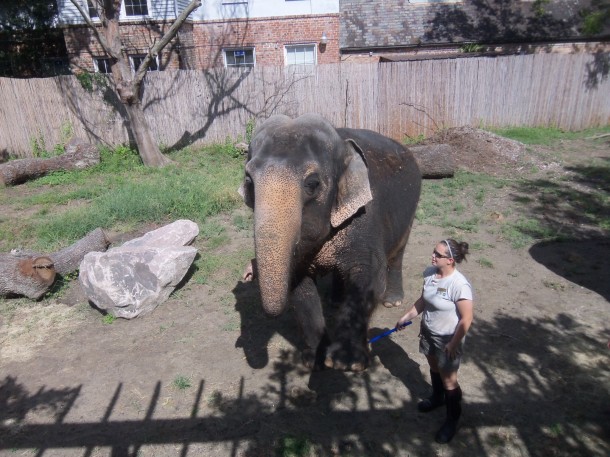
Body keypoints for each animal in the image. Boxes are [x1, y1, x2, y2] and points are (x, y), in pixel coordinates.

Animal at [240, 113, 420, 370]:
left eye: (312, 183)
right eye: (249, 182)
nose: (248, 273)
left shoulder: (366, 216)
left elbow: (369, 279)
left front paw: (346, 362)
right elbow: (300, 287)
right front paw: (315, 359)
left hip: (412, 207)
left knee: (398, 252)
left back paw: (392, 301)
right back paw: (334, 301)